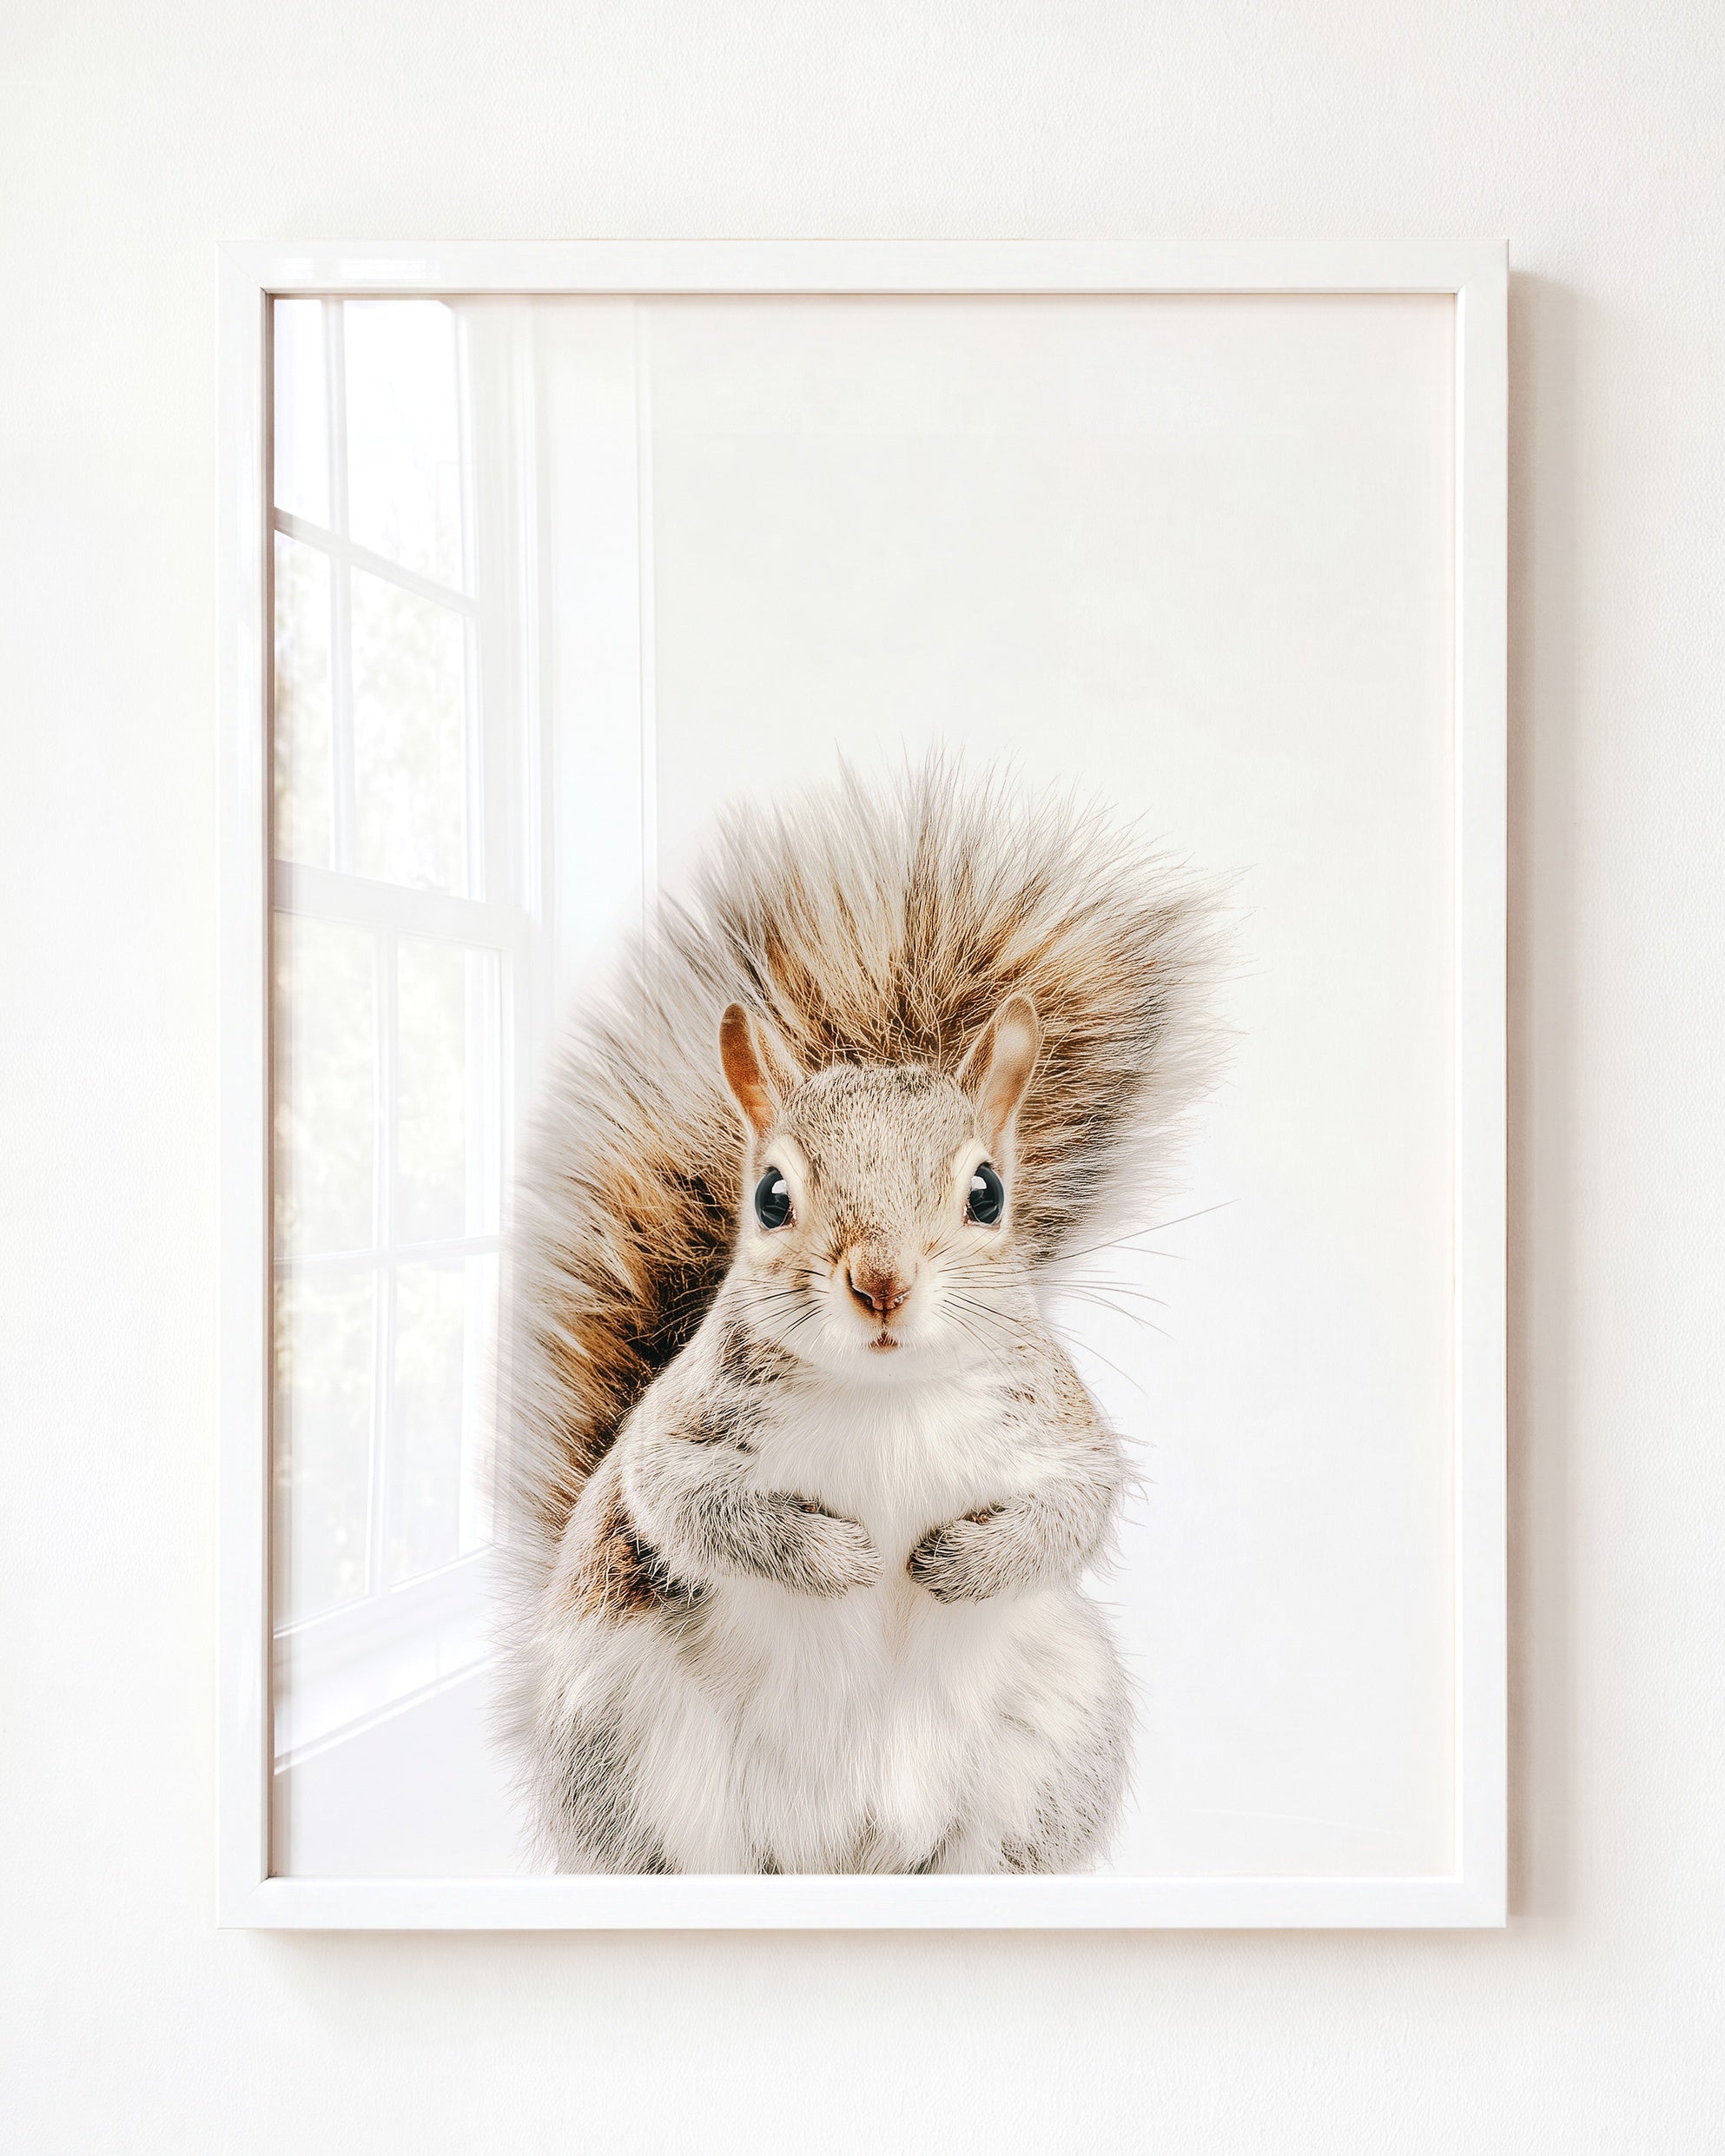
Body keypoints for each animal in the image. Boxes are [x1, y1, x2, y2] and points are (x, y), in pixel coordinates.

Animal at [493, 759, 1220, 1874]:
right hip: (631, 1749)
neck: (886, 1395)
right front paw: (836, 1558)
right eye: (770, 1197)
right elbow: (688, 1505)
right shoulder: (677, 1435)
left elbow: (1075, 1507)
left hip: (1051, 1740)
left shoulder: (1059, 1427)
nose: (881, 1282)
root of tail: (847, 1850)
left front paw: (961, 1562)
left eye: (987, 1193)